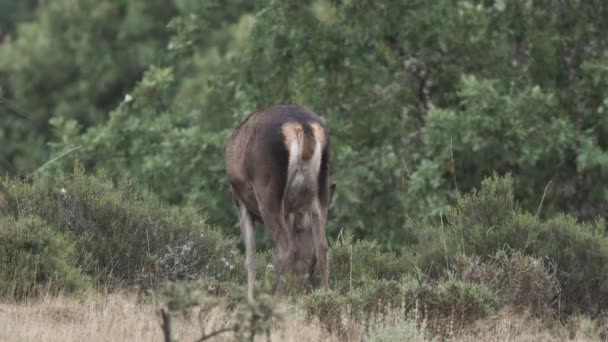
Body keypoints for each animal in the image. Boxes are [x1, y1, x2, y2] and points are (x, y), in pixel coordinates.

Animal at [226, 103, 334, 300]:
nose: (303, 286)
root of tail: (302, 126)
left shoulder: (241, 203)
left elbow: (250, 259)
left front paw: (249, 299)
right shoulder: (289, 210)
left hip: (267, 191)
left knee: (286, 248)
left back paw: (276, 299)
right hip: (320, 191)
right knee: (322, 246)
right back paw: (325, 295)